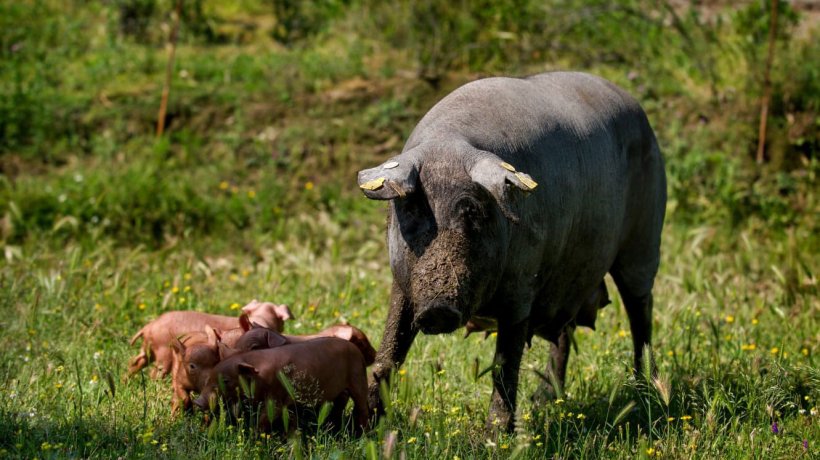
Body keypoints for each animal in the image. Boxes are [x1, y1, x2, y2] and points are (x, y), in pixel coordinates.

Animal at [358, 72, 668, 432]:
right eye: (411, 209)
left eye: (472, 211)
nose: (437, 309)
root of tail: (634, 105)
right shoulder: (402, 284)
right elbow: (389, 352)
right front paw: (365, 424)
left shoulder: (521, 288)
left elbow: (504, 364)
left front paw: (495, 434)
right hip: (567, 280)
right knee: (565, 333)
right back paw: (546, 399)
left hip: (643, 242)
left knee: (640, 313)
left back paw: (645, 391)